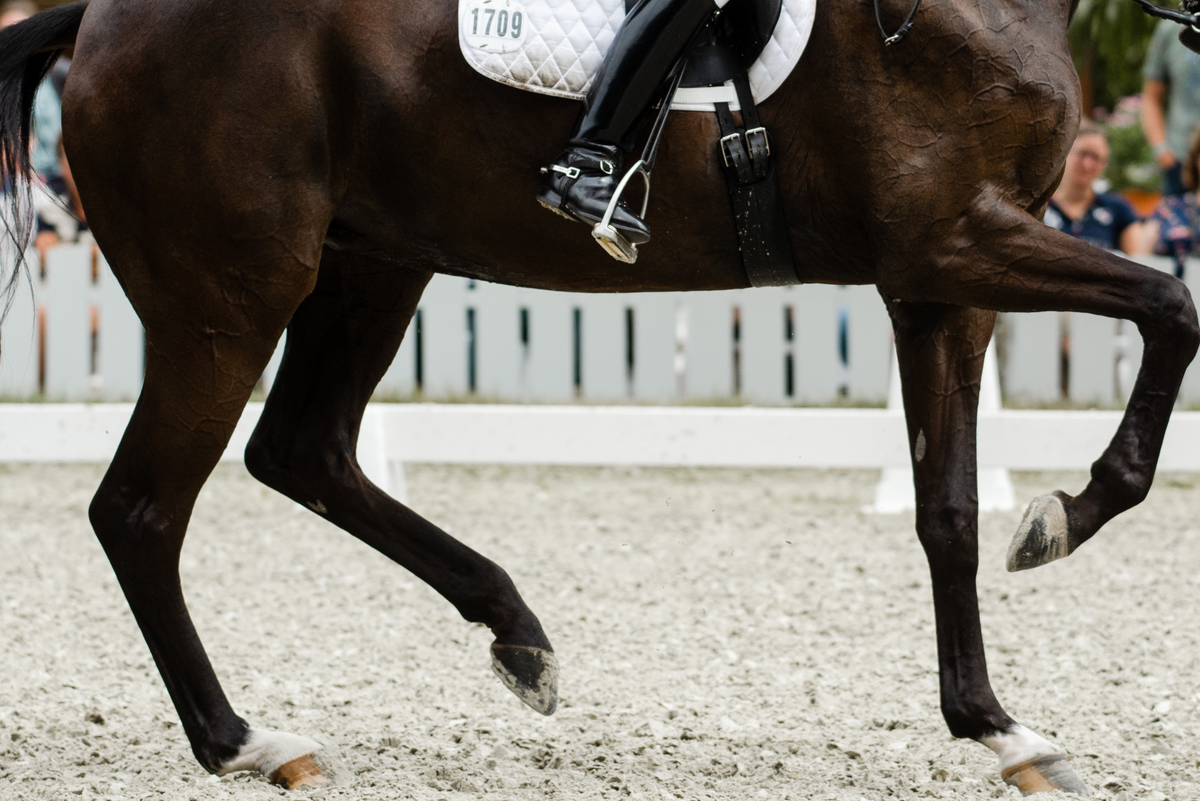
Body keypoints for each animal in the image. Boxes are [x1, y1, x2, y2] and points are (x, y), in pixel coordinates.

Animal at [0, 0, 1195, 796]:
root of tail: (101, 17)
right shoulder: (952, 240)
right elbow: (1173, 306)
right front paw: (1073, 511)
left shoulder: (942, 278)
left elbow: (948, 510)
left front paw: (1000, 724)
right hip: (226, 303)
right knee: (142, 510)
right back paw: (242, 739)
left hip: (372, 262)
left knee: (302, 448)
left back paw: (515, 633)